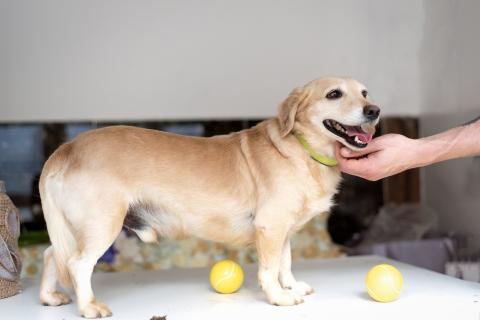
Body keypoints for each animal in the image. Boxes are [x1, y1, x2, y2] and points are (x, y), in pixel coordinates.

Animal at [39, 77, 380, 318]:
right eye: (334, 94)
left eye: (365, 92)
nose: (374, 111)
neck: (302, 149)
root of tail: (67, 148)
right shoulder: (270, 227)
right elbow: (269, 270)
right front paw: (279, 296)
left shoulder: (283, 232)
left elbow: (285, 263)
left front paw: (292, 285)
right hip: (103, 225)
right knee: (78, 264)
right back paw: (89, 307)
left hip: (75, 230)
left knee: (51, 255)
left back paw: (48, 297)